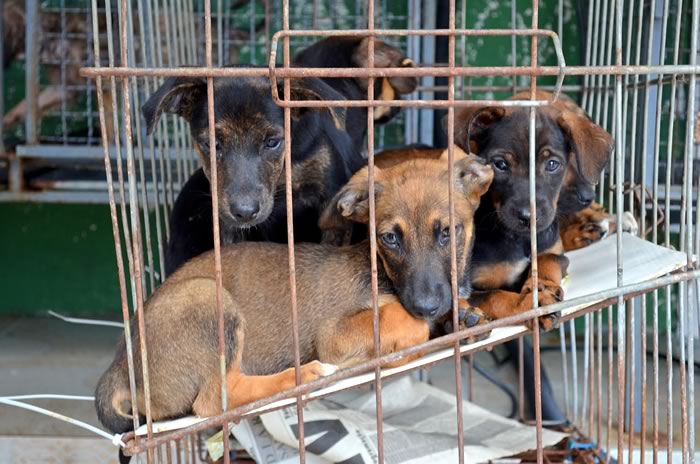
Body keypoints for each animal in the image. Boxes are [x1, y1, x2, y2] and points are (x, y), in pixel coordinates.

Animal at [95, 154, 494, 434]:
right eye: (390, 238)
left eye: (449, 232)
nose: (427, 306)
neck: (381, 272)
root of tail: (119, 368)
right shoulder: (335, 334)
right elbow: (401, 321)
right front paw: (421, 329)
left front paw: (461, 315)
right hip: (207, 297)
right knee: (214, 399)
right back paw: (302, 375)